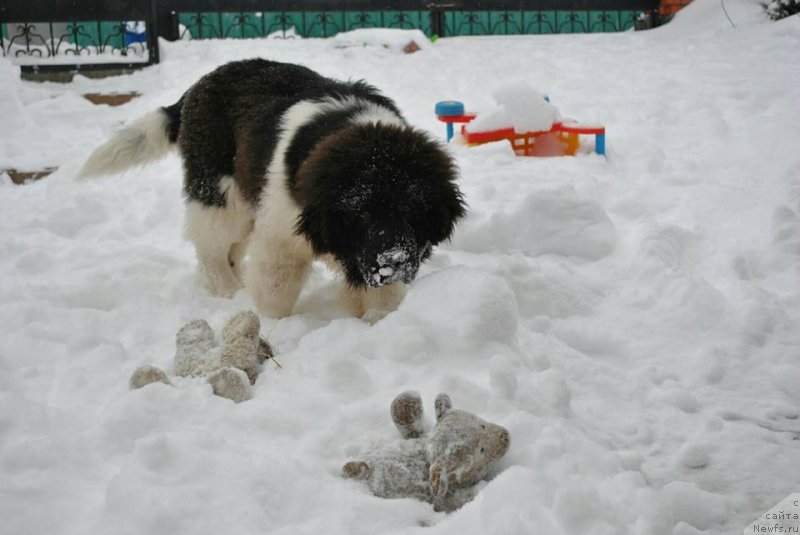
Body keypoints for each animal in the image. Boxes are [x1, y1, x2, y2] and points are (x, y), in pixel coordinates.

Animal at [78, 58, 466, 318]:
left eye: (413, 209)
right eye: (360, 213)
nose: (393, 261)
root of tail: (198, 87)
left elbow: (382, 297)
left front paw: (378, 322)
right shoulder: (282, 237)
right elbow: (275, 290)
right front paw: (272, 328)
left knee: (231, 248)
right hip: (222, 194)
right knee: (211, 246)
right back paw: (227, 290)